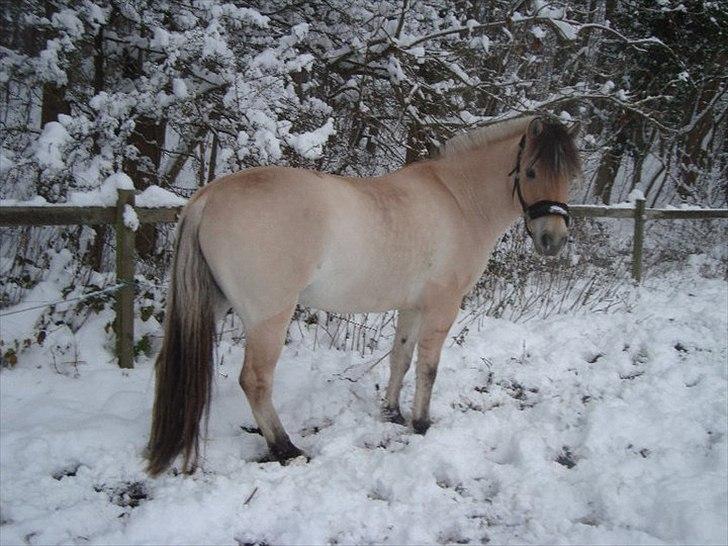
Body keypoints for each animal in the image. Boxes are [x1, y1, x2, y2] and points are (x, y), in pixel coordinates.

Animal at [146, 113, 580, 472]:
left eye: (570, 177)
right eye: (531, 171)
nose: (552, 240)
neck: (458, 201)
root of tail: (208, 197)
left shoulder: (412, 306)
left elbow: (401, 358)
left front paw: (392, 413)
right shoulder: (443, 306)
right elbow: (428, 366)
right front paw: (421, 424)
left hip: (215, 303)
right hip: (269, 317)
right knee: (255, 380)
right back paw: (286, 448)